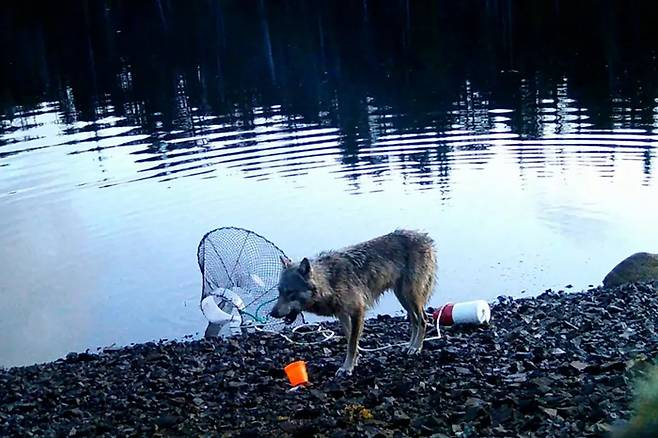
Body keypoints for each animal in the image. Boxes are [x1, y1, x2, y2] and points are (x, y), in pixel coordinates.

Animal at [269, 229, 437, 376]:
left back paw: (416, 347)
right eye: (279, 292)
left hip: (410, 296)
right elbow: (351, 339)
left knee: (423, 319)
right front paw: (354, 362)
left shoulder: (358, 312)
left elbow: (351, 343)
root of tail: (425, 238)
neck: (329, 282)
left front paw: (347, 368)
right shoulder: (343, 315)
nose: (272, 313)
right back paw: (410, 346)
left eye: (290, 293)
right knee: (415, 320)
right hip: (403, 298)